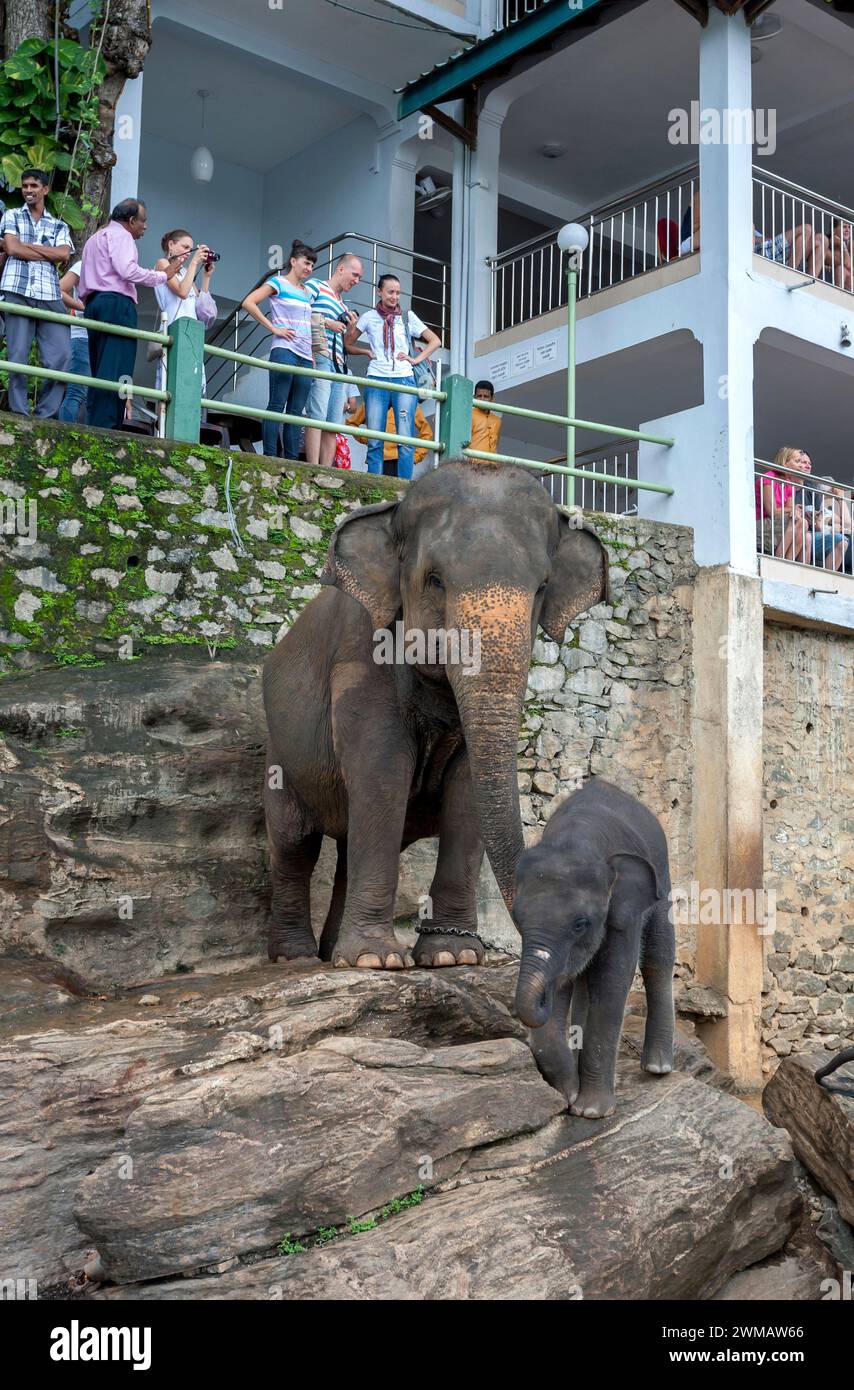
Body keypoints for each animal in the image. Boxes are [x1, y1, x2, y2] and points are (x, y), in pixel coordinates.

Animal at [262, 461, 609, 973]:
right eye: (435, 580)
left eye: (543, 587)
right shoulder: (362, 661)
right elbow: (382, 776)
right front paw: (377, 962)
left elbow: (466, 792)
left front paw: (452, 955)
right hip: (277, 750)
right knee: (293, 844)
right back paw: (297, 958)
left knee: (345, 847)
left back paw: (331, 954)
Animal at [511, 783, 678, 1117]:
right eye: (517, 920)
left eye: (580, 924)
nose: (569, 1096)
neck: (577, 839)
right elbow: (570, 981)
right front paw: (569, 1091)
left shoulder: (623, 910)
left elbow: (613, 978)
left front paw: (590, 1111)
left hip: (662, 882)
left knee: (658, 956)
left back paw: (657, 1067)